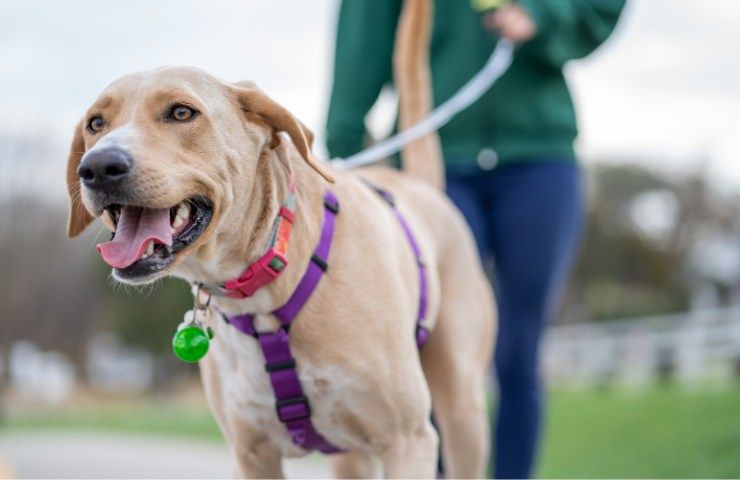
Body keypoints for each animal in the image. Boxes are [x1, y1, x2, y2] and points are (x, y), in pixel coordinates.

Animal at [66, 0, 494, 476]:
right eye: (96, 123)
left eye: (181, 112)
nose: (97, 167)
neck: (264, 288)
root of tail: (421, 188)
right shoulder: (252, 455)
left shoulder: (409, 441)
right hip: (352, 455)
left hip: (462, 414)